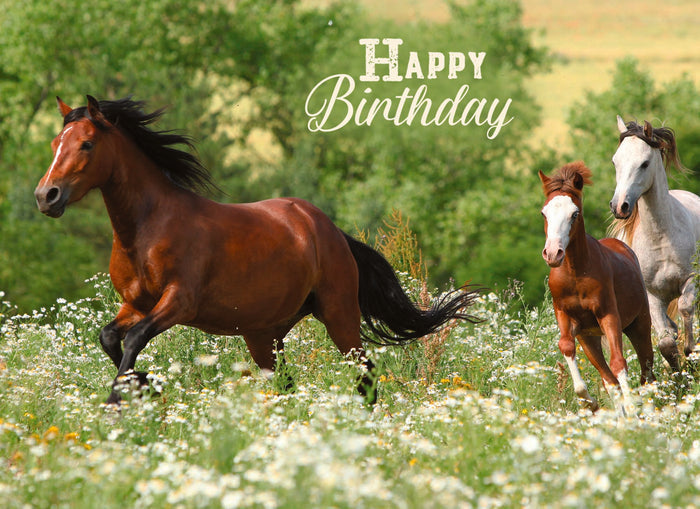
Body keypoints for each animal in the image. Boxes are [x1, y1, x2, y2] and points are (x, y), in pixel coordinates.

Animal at [34, 95, 480, 405]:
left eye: (87, 144)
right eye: (56, 142)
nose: (46, 196)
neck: (147, 229)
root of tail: (329, 229)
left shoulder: (179, 302)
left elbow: (133, 339)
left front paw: (121, 396)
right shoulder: (135, 304)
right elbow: (109, 336)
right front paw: (144, 384)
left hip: (339, 315)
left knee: (365, 374)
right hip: (265, 334)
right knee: (287, 383)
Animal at [539, 162, 654, 413]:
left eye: (574, 214)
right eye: (544, 213)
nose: (553, 253)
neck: (575, 274)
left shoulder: (609, 315)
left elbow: (619, 362)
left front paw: (632, 409)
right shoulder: (566, 317)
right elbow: (566, 346)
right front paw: (589, 402)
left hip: (639, 324)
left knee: (647, 368)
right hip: (590, 339)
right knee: (609, 379)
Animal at [610, 116, 700, 367]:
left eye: (644, 164)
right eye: (615, 162)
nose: (619, 206)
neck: (660, 239)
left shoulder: (691, 279)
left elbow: (686, 307)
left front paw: (691, 351)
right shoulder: (652, 296)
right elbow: (666, 343)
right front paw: (678, 371)